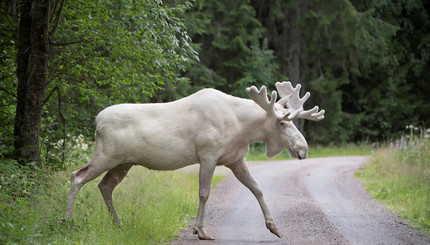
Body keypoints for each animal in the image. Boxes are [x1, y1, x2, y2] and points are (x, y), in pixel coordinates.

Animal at [65, 81, 324, 240]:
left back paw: (118, 224)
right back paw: (67, 221)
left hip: (123, 162)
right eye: (282, 123)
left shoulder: (235, 159)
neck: (243, 128)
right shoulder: (208, 154)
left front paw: (274, 227)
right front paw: (200, 231)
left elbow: (257, 188)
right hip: (106, 155)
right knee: (77, 176)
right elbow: (204, 193)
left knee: (105, 185)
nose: (303, 149)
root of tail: (97, 121)